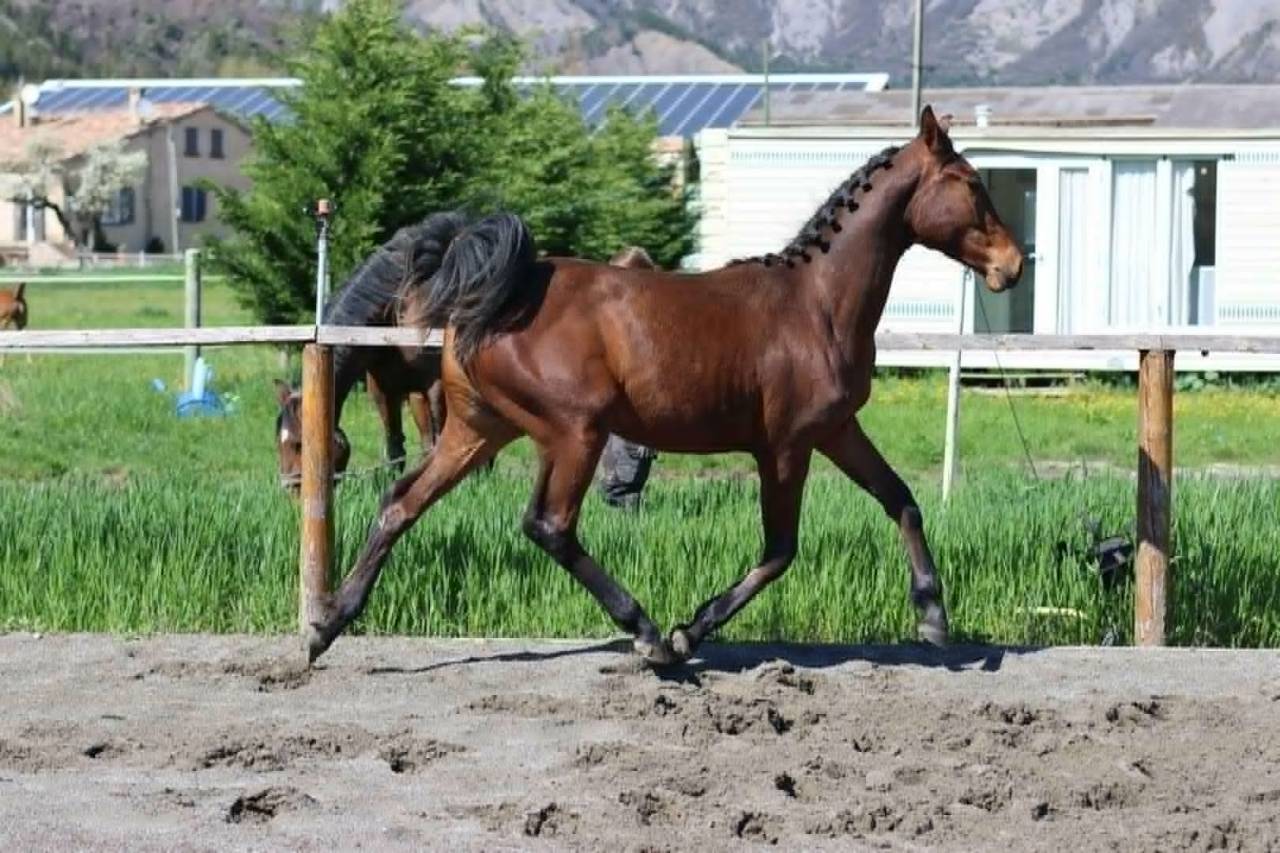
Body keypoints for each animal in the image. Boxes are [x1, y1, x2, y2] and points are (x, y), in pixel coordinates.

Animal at [304, 107, 1024, 667]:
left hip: (480, 429)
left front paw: (933, 617)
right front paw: (688, 631)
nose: (1013, 265)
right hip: (575, 433)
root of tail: (499, 294)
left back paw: (325, 626)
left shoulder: (836, 429)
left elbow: (900, 499)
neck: (816, 303)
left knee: (401, 503)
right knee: (548, 525)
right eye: (969, 182)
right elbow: (780, 550)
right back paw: (646, 633)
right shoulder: (787, 445)